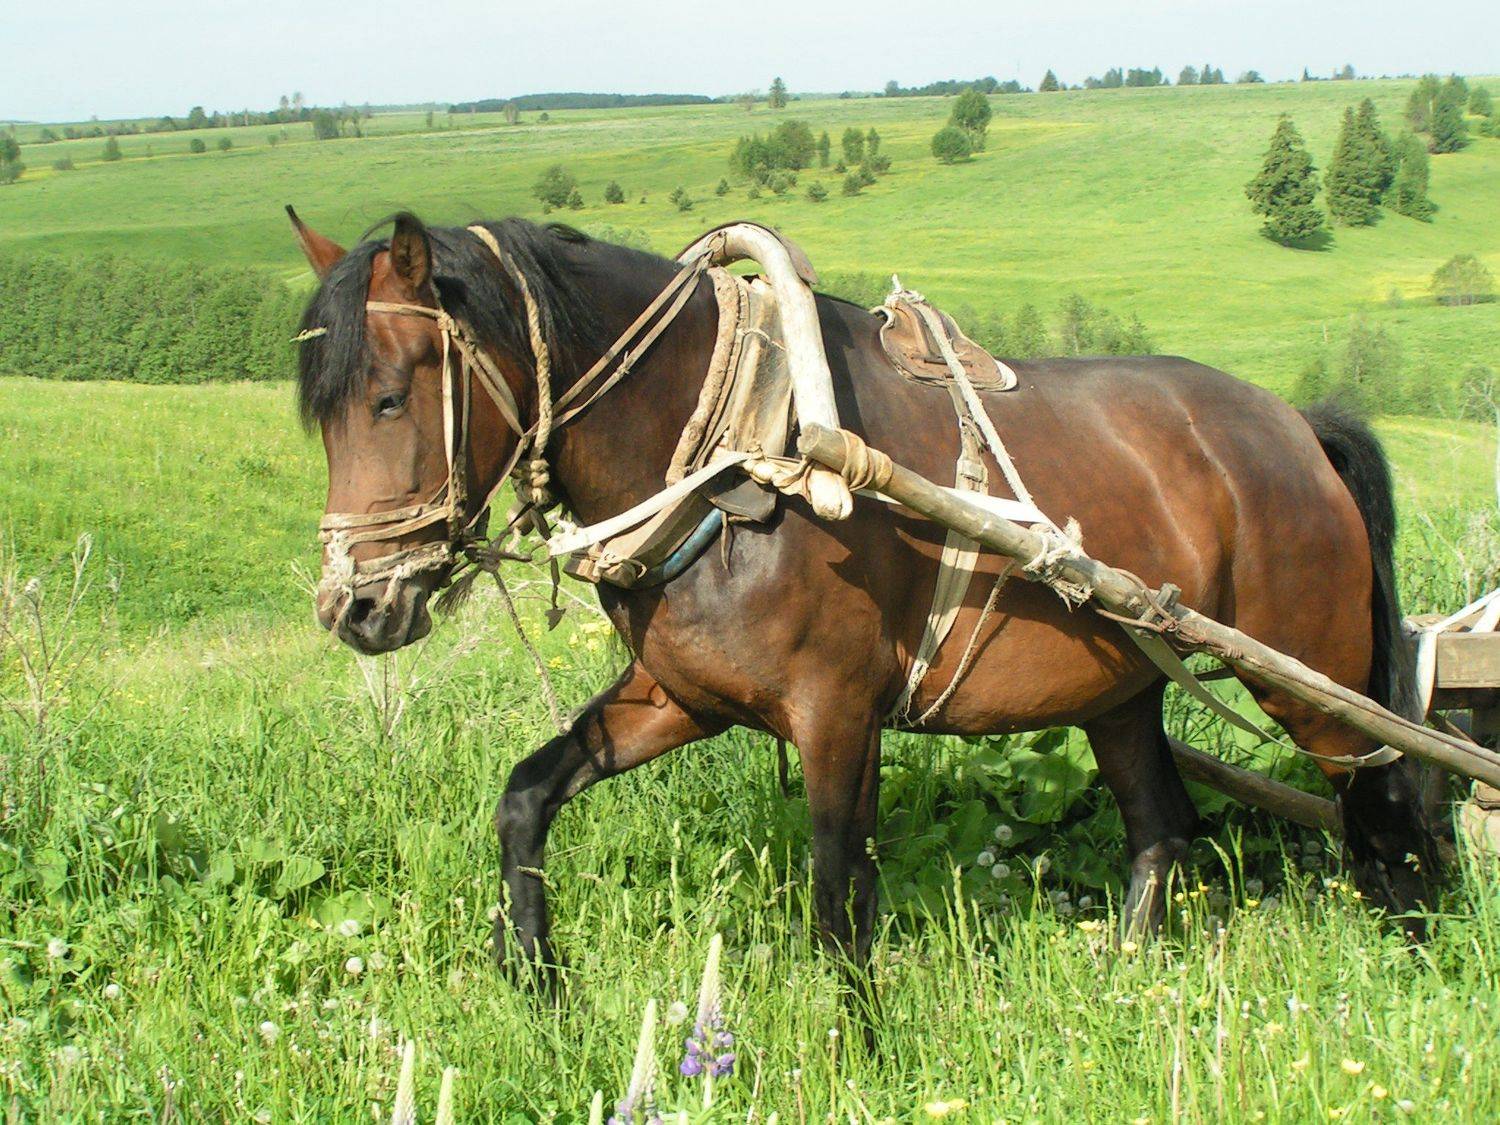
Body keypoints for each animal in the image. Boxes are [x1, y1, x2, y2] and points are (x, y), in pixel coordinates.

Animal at [289, 208, 1439, 1002]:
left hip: (1312, 679)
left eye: (389, 397)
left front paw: (858, 1046)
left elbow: (839, 898)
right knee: (1164, 826)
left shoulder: (838, 711)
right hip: (1119, 689)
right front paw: (535, 978)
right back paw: (1124, 974)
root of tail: (1294, 424)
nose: (357, 607)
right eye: (326, 413)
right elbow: (527, 794)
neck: (747, 448)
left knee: (1388, 793)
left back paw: (1422, 950)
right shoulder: (677, 694)